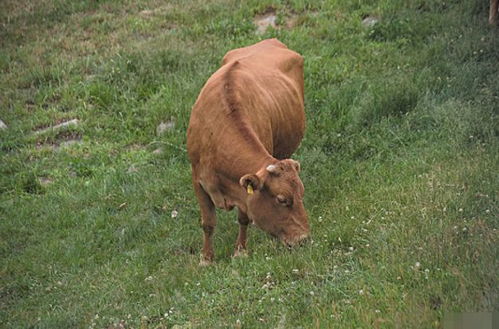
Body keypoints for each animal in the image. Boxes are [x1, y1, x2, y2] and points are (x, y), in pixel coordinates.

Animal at [188, 38, 310, 264]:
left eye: (301, 194)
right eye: (282, 199)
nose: (303, 239)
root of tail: (269, 41)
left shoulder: (243, 191)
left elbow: (243, 218)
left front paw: (240, 251)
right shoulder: (197, 180)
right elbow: (208, 222)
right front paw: (206, 259)